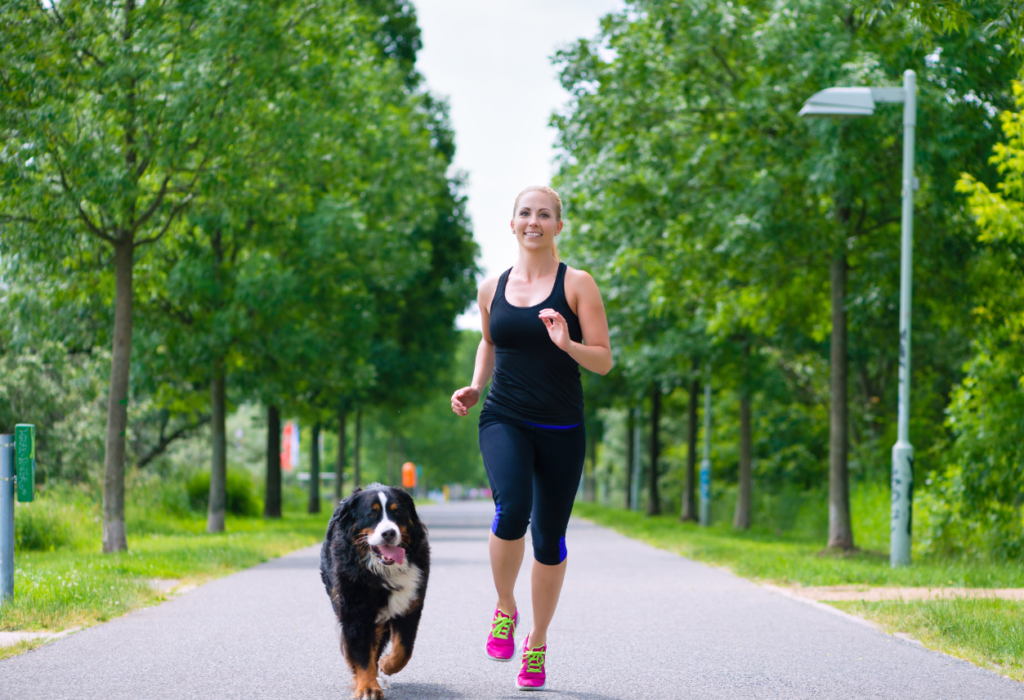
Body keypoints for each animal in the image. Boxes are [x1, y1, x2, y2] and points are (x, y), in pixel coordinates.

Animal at [321, 483, 430, 695]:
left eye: (398, 512)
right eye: (372, 514)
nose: (389, 533)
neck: (383, 570)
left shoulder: (411, 605)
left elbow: (404, 649)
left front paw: (387, 664)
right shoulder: (356, 611)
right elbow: (363, 653)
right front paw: (368, 687)